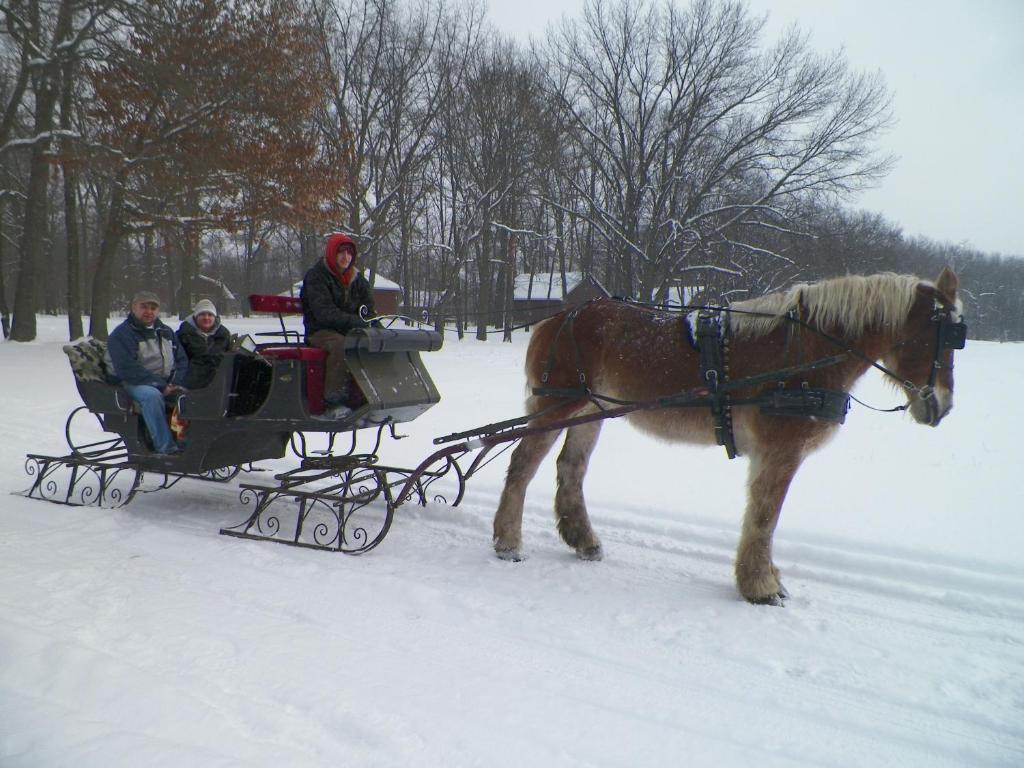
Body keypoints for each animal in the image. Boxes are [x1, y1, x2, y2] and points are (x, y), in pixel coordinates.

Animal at [491, 268, 962, 606]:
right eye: (941, 337)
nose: (941, 406)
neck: (805, 354)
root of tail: (559, 317)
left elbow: (765, 517)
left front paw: (767, 578)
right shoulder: (780, 451)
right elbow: (765, 516)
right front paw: (761, 586)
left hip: (591, 410)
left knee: (570, 469)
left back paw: (583, 540)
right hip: (559, 406)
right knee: (522, 464)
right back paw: (508, 542)